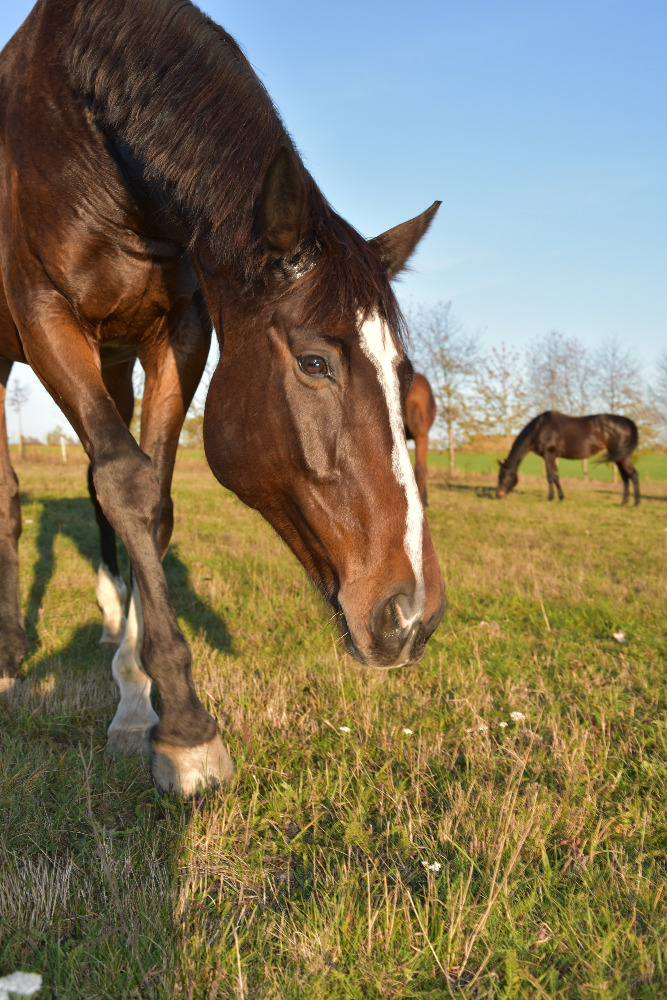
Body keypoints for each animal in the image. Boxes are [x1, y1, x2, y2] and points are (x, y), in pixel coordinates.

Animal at [0, 0, 448, 796]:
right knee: (13, 496)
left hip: (114, 357)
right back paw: (10, 655)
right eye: (313, 362)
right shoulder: (44, 316)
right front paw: (186, 729)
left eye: (402, 374)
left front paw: (136, 700)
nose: (414, 616)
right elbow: (127, 482)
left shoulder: (178, 332)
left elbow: (148, 499)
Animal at [498, 412, 640, 508]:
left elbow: (550, 476)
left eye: (503, 476)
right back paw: (623, 502)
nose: (498, 496)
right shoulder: (553, 457)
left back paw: (636, 503)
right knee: (625, 476)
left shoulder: (548, 454)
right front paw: (560, 497)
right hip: (618, 456)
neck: (540, 428)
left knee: (632, 474)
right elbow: (556, 476)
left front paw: (550, 498)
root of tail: (627, 421)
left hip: (622, 456)